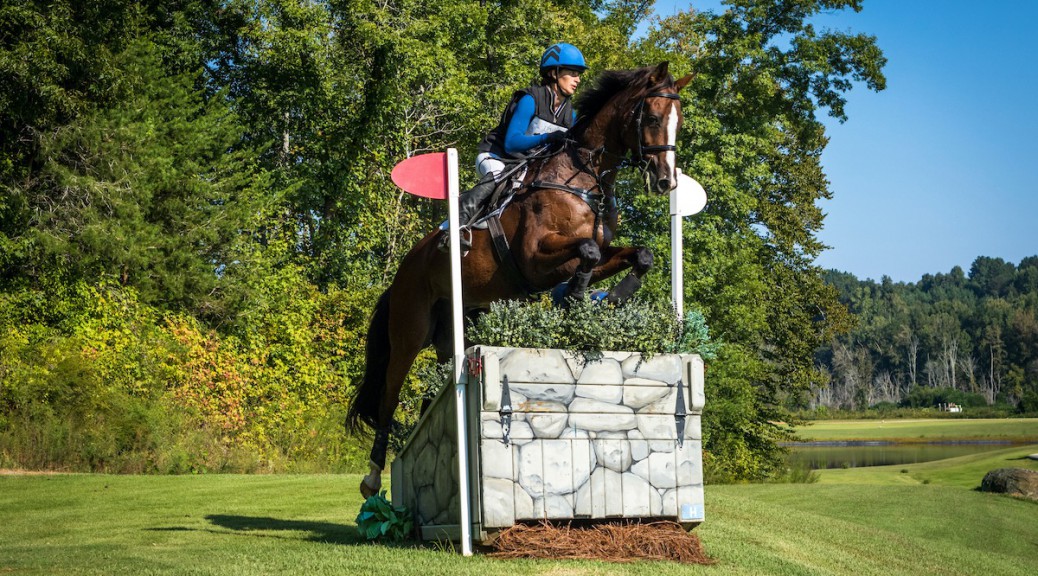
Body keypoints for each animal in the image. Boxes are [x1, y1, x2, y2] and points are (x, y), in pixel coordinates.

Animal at [344, 60, 693, 498]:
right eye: (652, 117)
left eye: (679, 122)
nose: (667, 182)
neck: (583, 178)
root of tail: (401, 273)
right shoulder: (534, 260)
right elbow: (587, 251)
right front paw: (577, 298)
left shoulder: (595, 252)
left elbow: (637, 255)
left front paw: (608, 298)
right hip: (409, 333)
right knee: (389, 398)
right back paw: (372, 478)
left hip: (452, 332)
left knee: (433, 390)